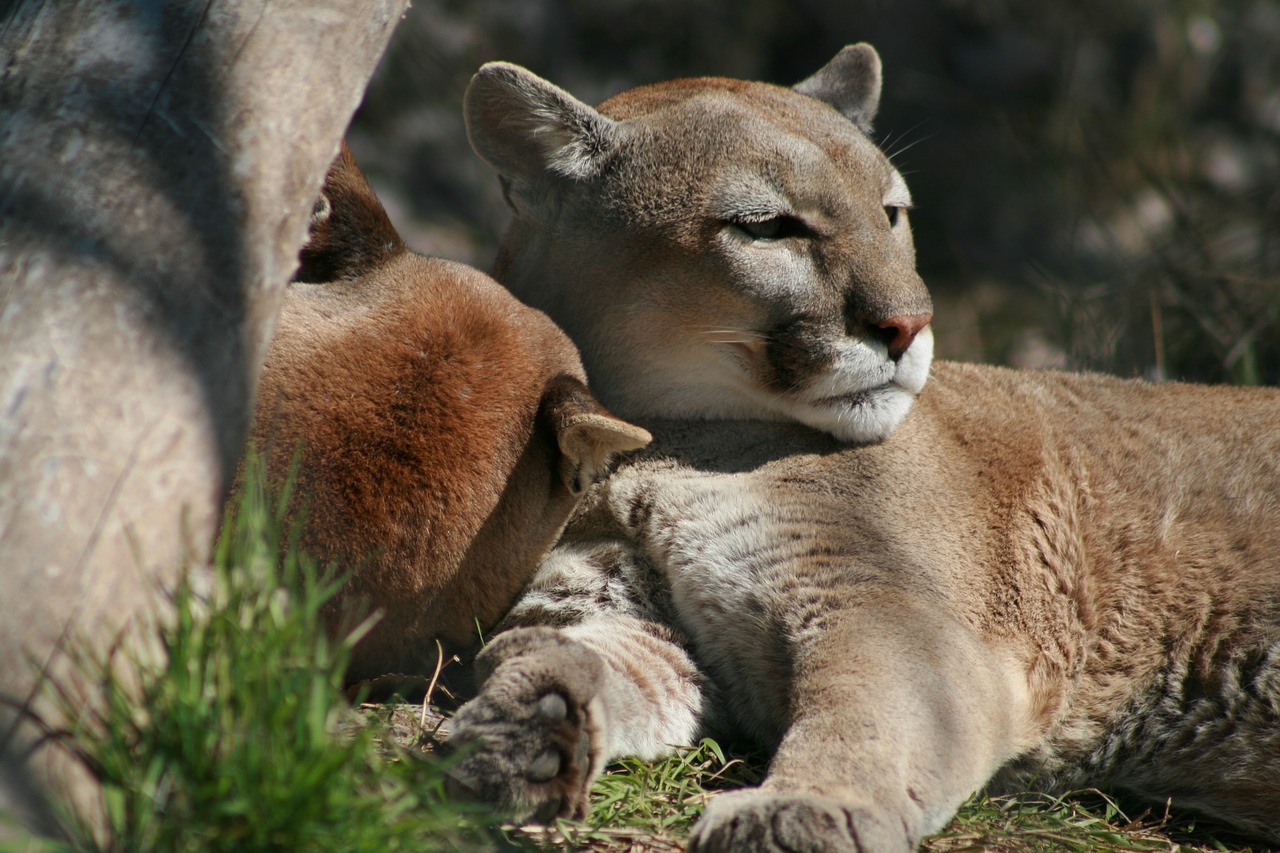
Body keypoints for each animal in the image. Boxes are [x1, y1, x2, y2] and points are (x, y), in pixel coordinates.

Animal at [442, 48, 1280, 850]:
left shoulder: (882, 612)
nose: (911, 323)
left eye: (892, 213)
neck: (653, 444)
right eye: (768, 226)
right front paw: (530, 720)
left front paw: (802, 810)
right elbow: (572, 655)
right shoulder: (640, 619)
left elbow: (858, 720)